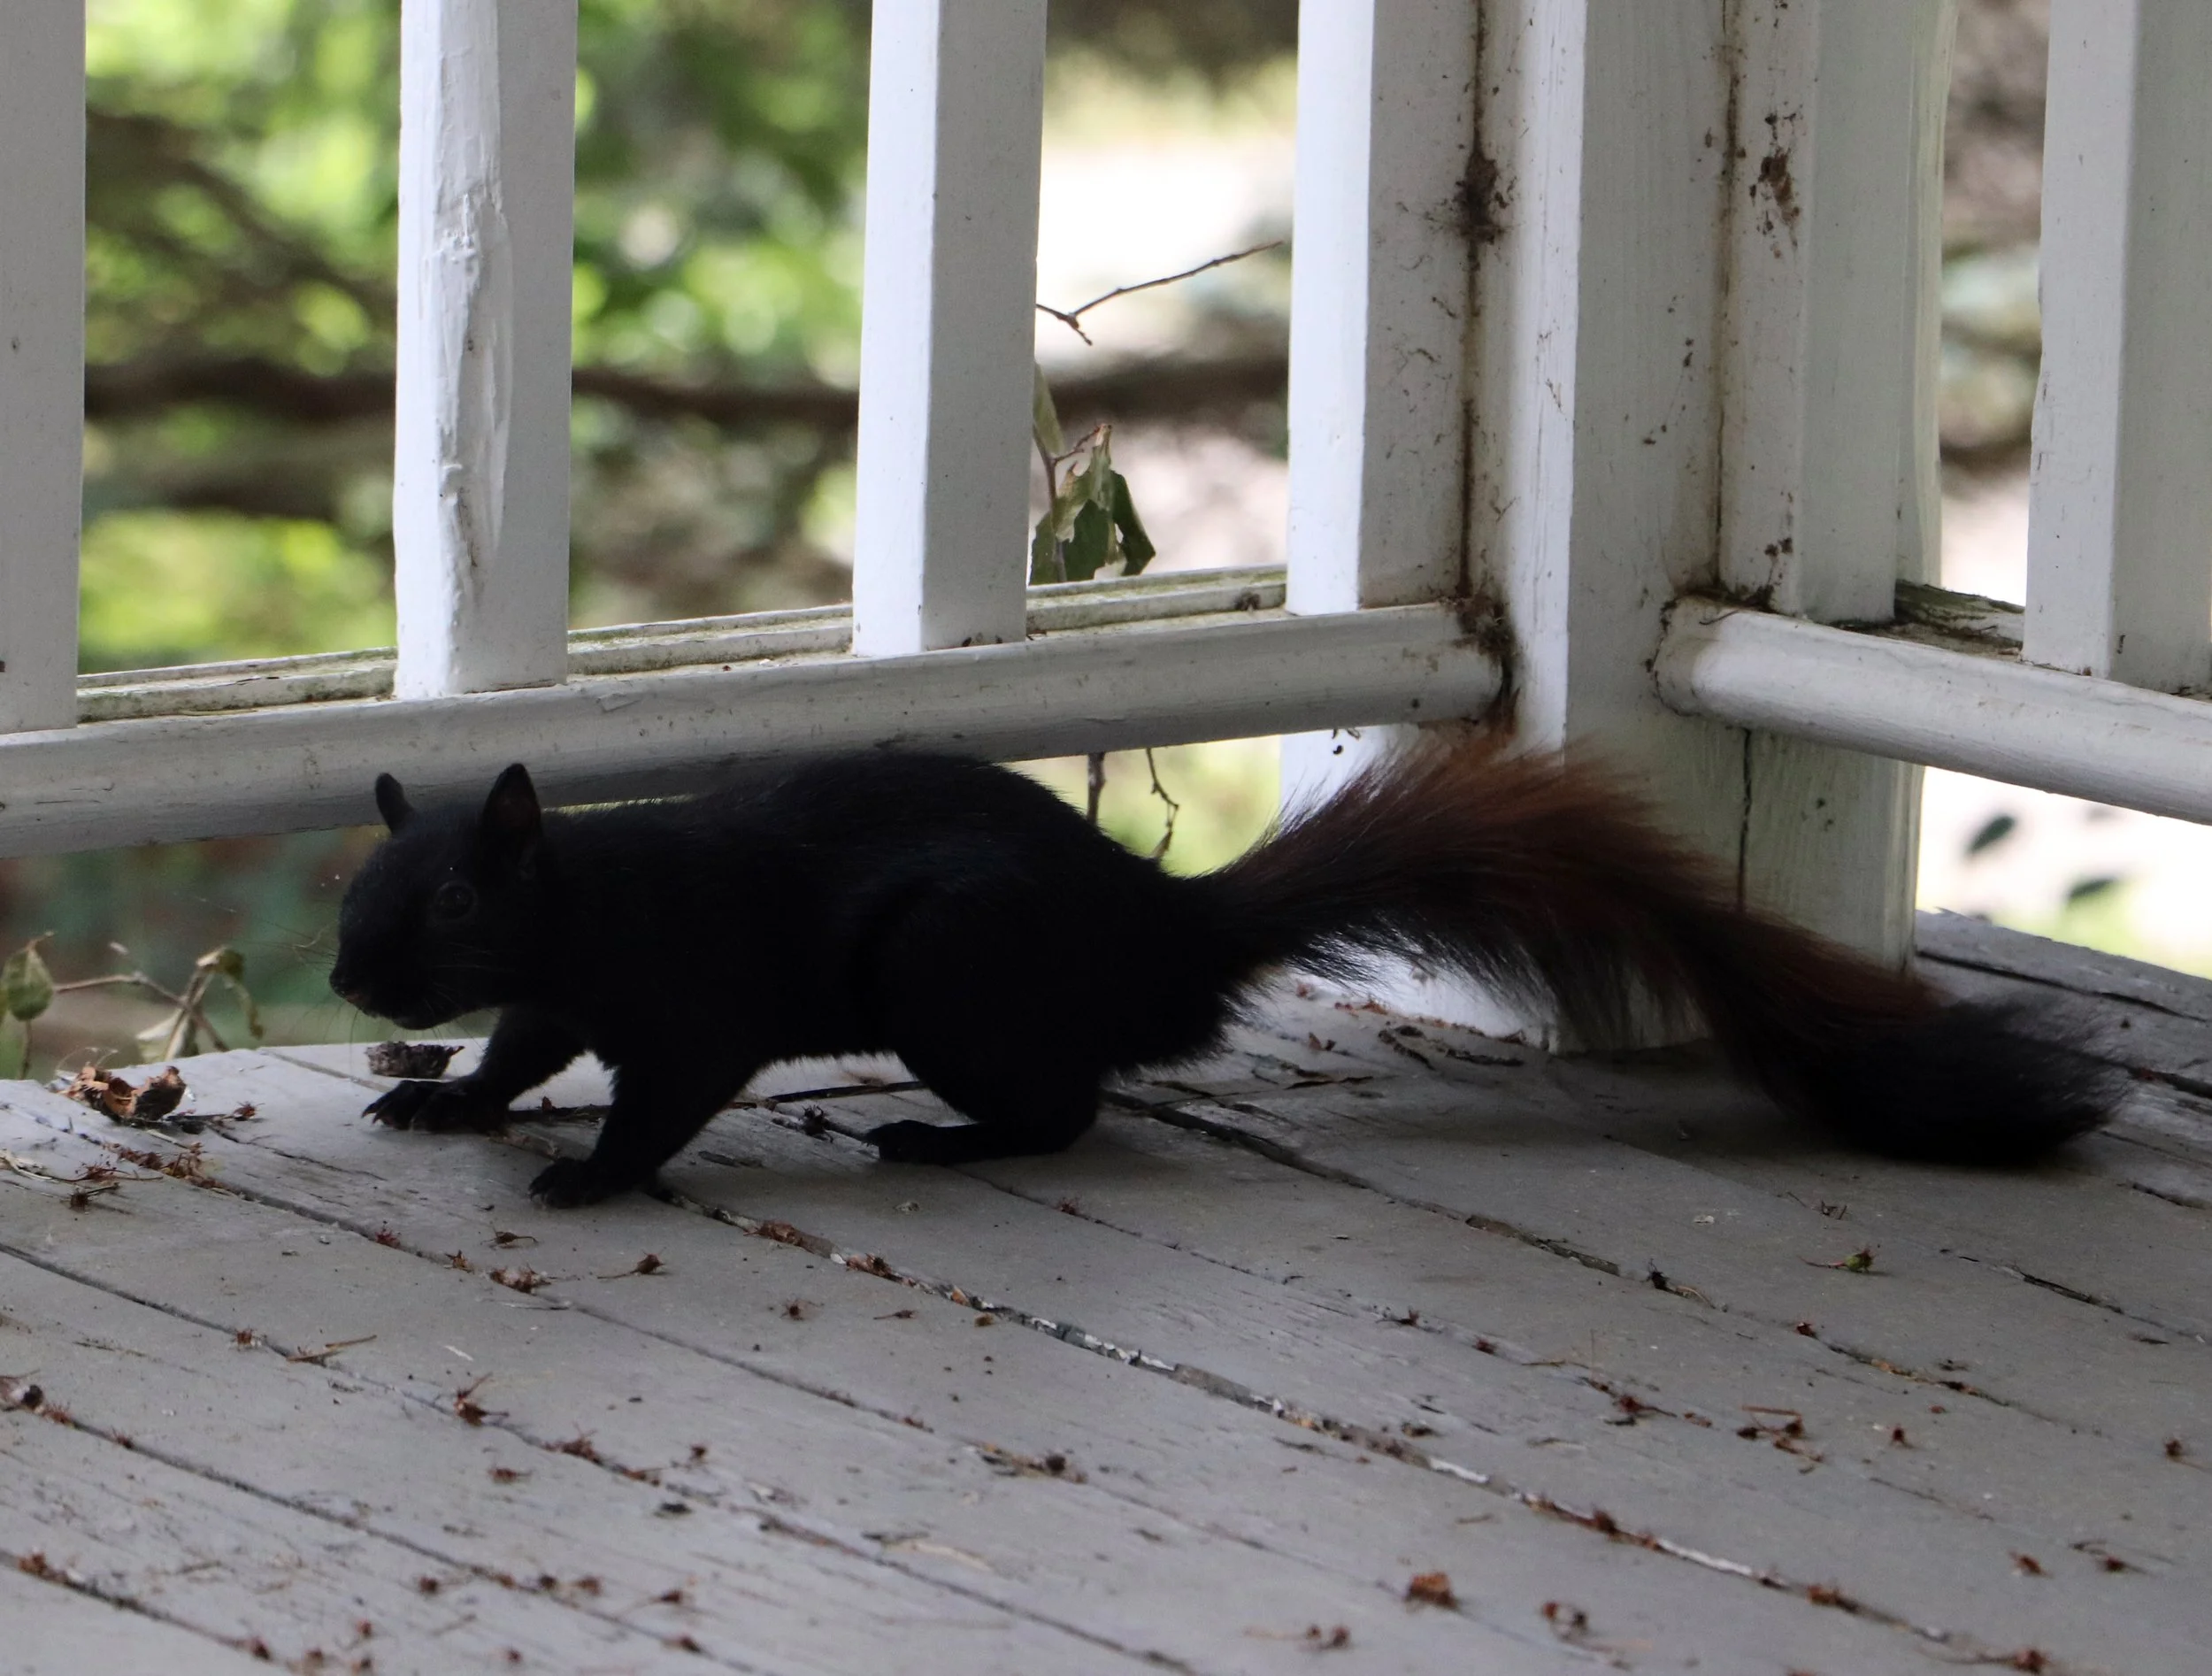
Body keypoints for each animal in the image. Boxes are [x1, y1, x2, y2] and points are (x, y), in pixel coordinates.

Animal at [328, 742, 2114, 1207]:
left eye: (451, 897)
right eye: (358, 887)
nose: (349, 981)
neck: (586, 898)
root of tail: (1164, 931)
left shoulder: (690, 997)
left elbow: (666, 1095)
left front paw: (588, 1177)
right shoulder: (558, 996)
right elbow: (517, 1051)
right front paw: (445, 1105)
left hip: (949, 974)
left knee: (1067, 1107)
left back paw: (942, 1139)